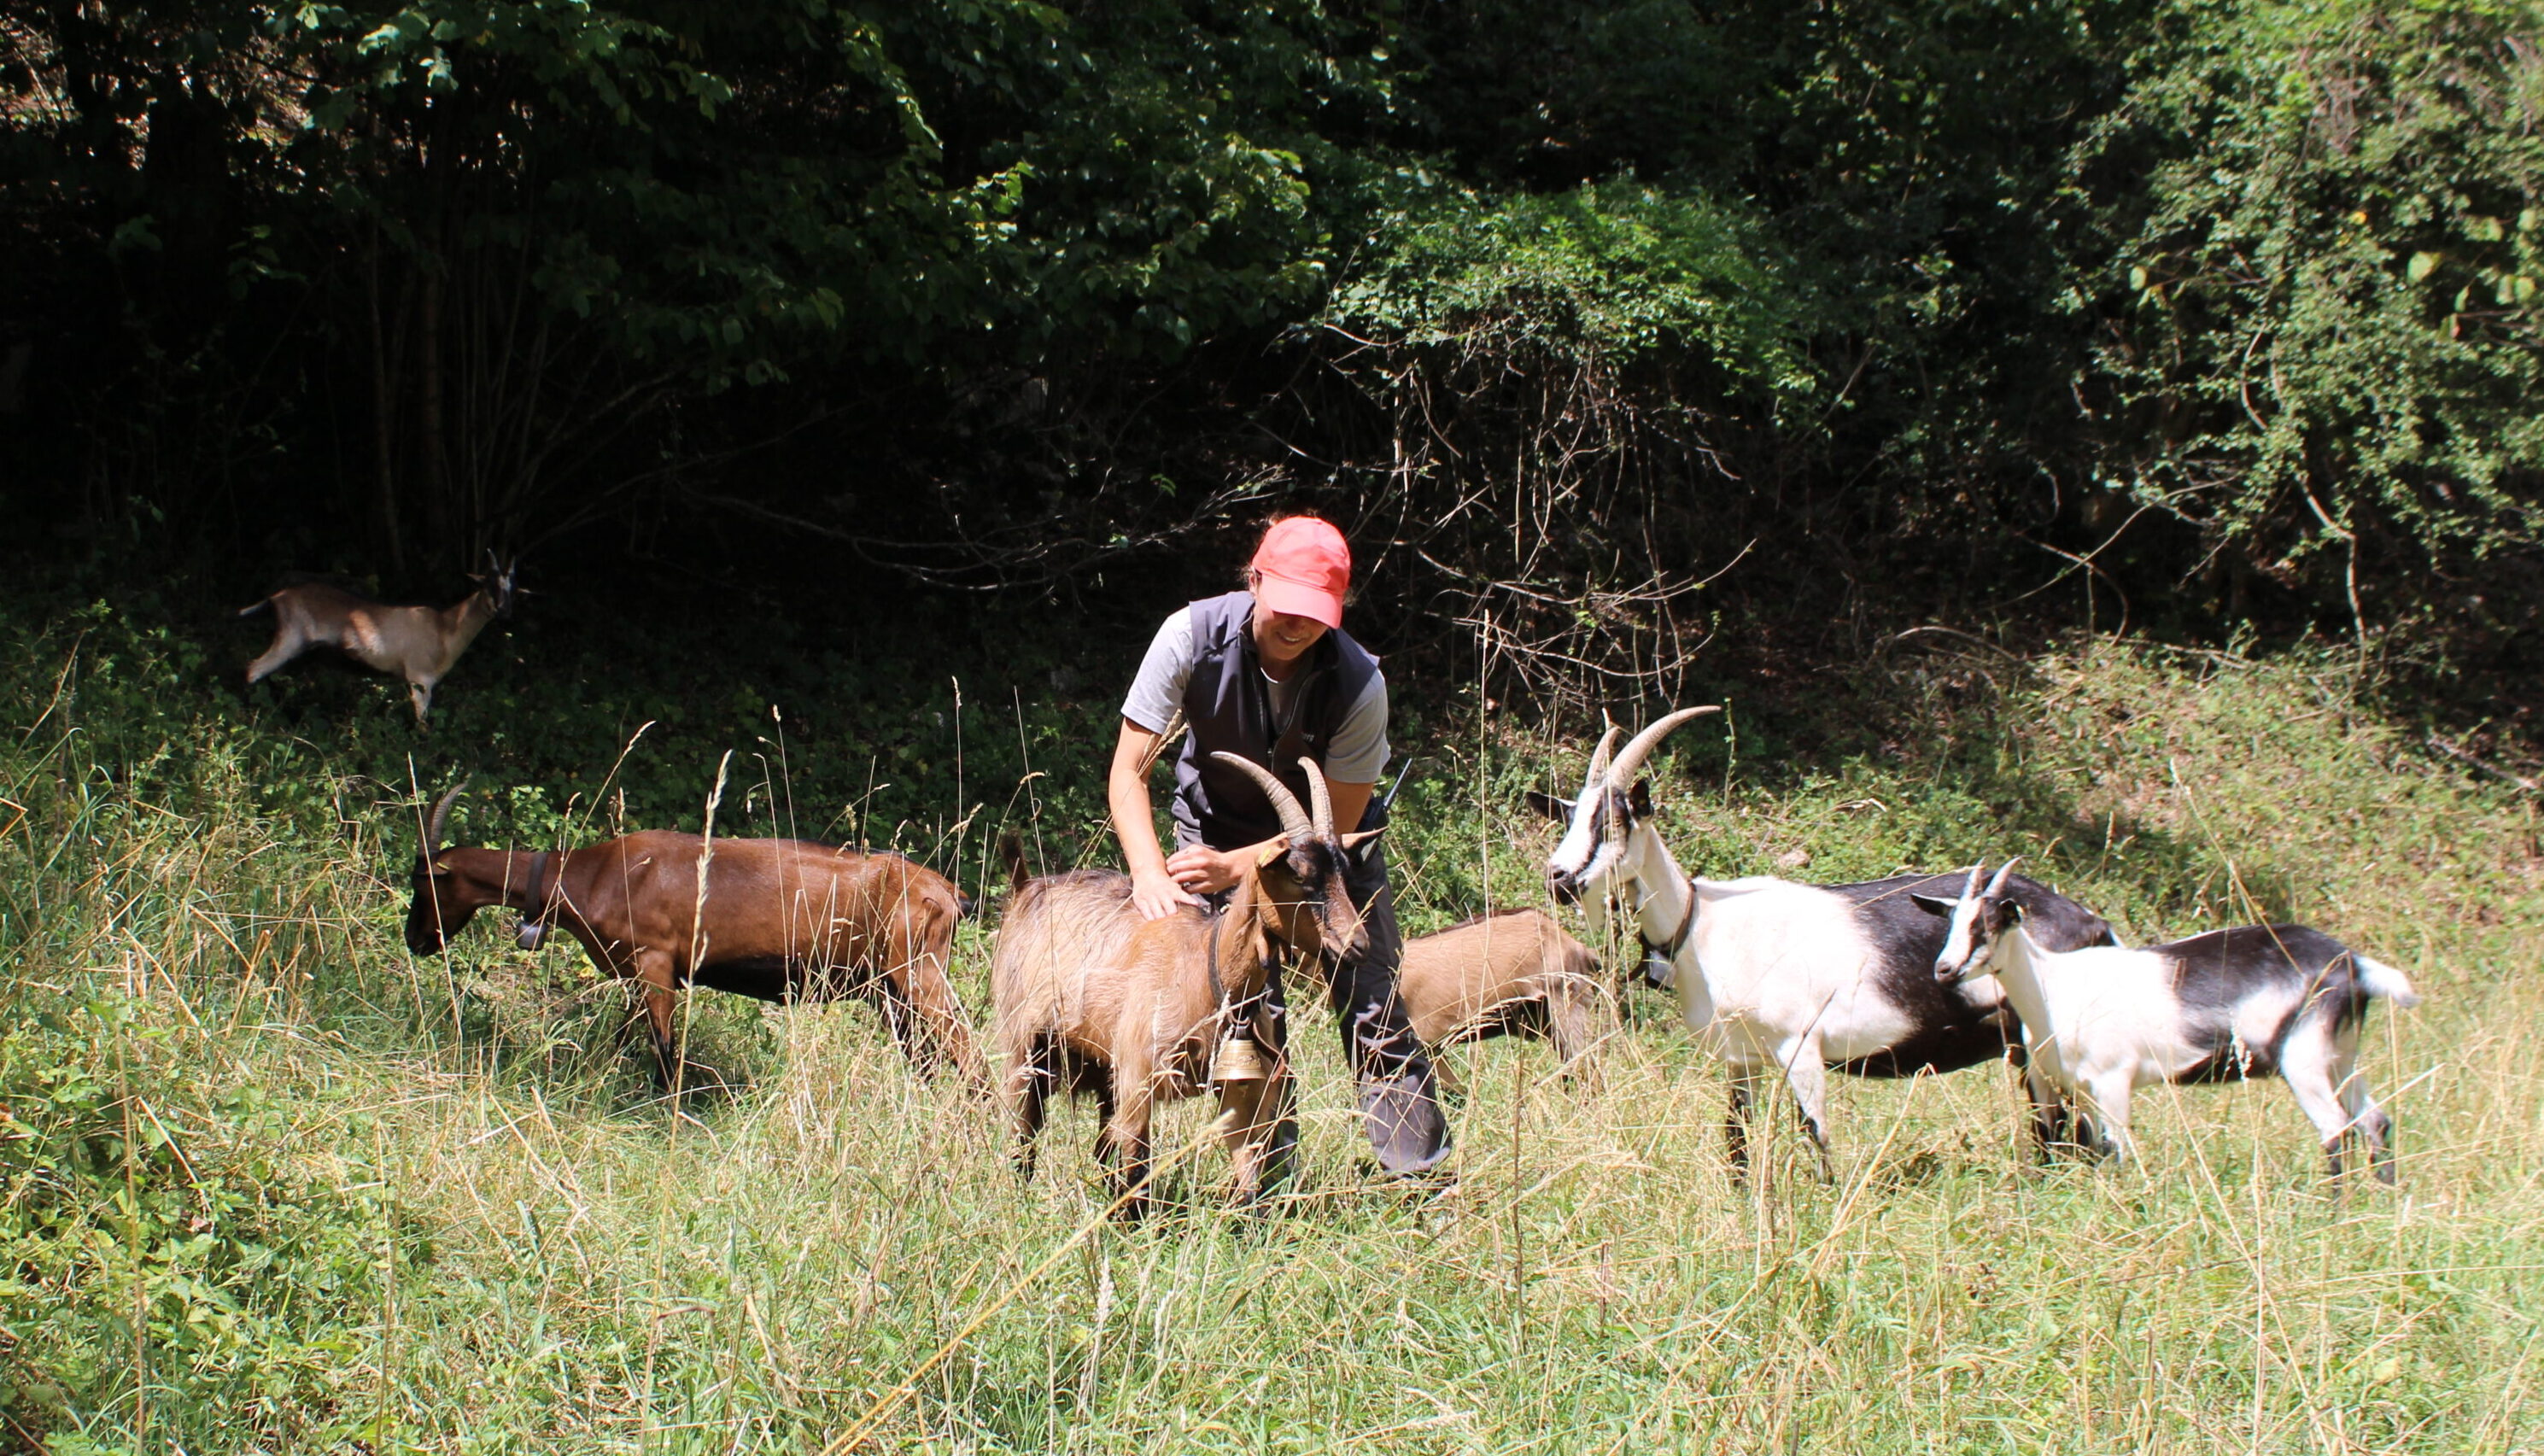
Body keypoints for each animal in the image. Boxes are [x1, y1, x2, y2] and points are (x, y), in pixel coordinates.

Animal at [242, 555, 516, 724]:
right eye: (489, 584)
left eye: (510, 587)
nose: (504, 613)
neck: (443, 626)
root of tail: (278, 596)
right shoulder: (419, 679)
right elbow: (421, 725)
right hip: (288, 642)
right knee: (253, 669)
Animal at [403, 784, 983, 1089]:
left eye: (424, 880)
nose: (416, 940)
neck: (594, 873)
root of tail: (951, 895)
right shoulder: (639, 975)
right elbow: (626, 1038)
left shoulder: (656, 964)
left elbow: (664, 1050)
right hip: (890, 993)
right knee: (933, 1060)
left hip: (918, 977)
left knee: (972, 1054)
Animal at [993, 754, 1377, 1216]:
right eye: (1299, 878)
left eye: (1344, 875)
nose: (1357, 945)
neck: (1206, 970)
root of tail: (1026, 887)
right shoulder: (1138, 1078)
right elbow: (1137, 1166)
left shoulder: (1244, 1090)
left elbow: (1248, 1172)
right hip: (1023, 1043)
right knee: (1023, 1128)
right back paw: (1020, 1199)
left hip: (1098, 1062)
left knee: (1099, 1144)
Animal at [1530, 709, 2119, 1178]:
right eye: (1569, 818)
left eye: (1613, 821)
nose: (1559, 878)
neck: (1702, 925)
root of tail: (2093, 923)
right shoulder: (1743, 1057)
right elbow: (1736, 1139)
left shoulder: (1801, 1047)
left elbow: (1817, 1136)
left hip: (2044, 1041)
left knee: (2064, 1126)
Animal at [1930, 861, 2422, 1181]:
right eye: (1953, 922)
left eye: (1988, 923)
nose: (1944, 970)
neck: (2053, 984)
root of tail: (2353, 963)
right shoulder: (2079, 1087)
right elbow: (2085, 1143)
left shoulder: (2113, 1079)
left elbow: (2115, 1148)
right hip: (2340, 1056)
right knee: (2375, 1121)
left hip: (2303, 1058)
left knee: (2336, 1130)